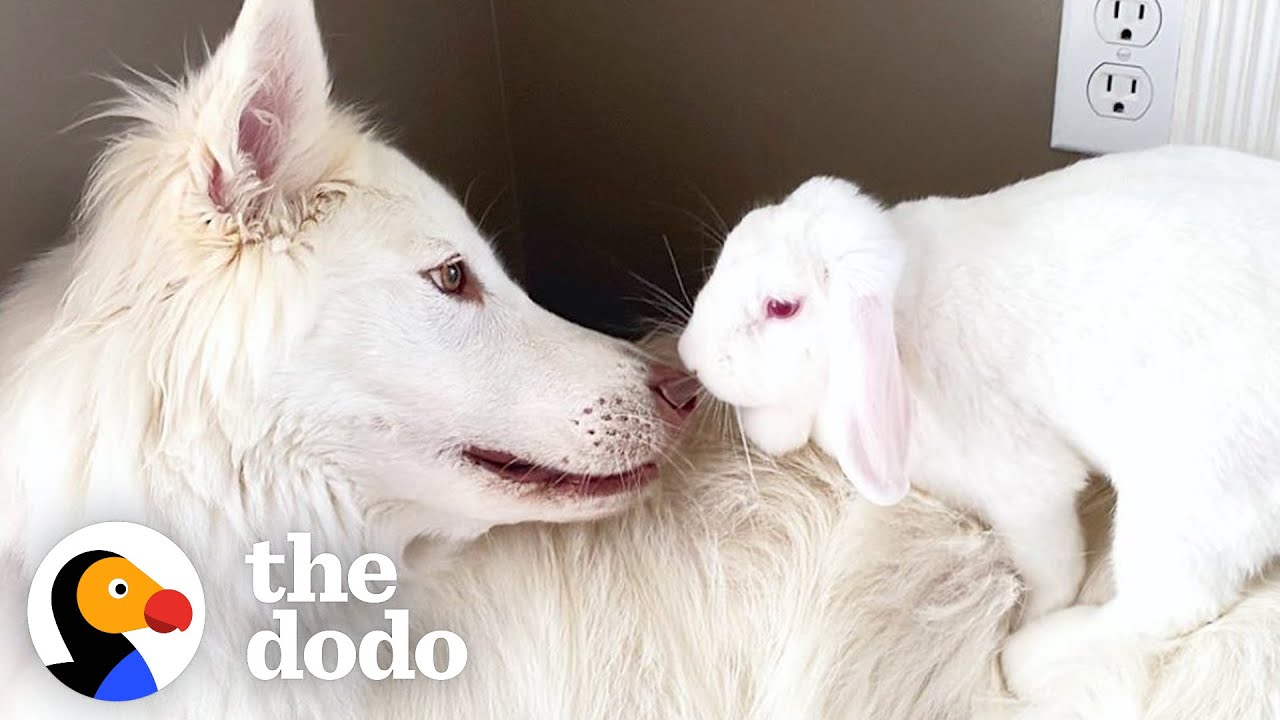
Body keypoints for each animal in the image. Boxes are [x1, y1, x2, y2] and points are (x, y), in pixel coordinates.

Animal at [680, 144, 1280, 696]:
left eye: (781, 307)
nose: (689, 355)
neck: (901, 315)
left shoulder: (1025, 490)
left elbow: (1054, 571)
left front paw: (1025, 617)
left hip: (1190, 490)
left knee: (1170, 605)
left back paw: (1027, 656)